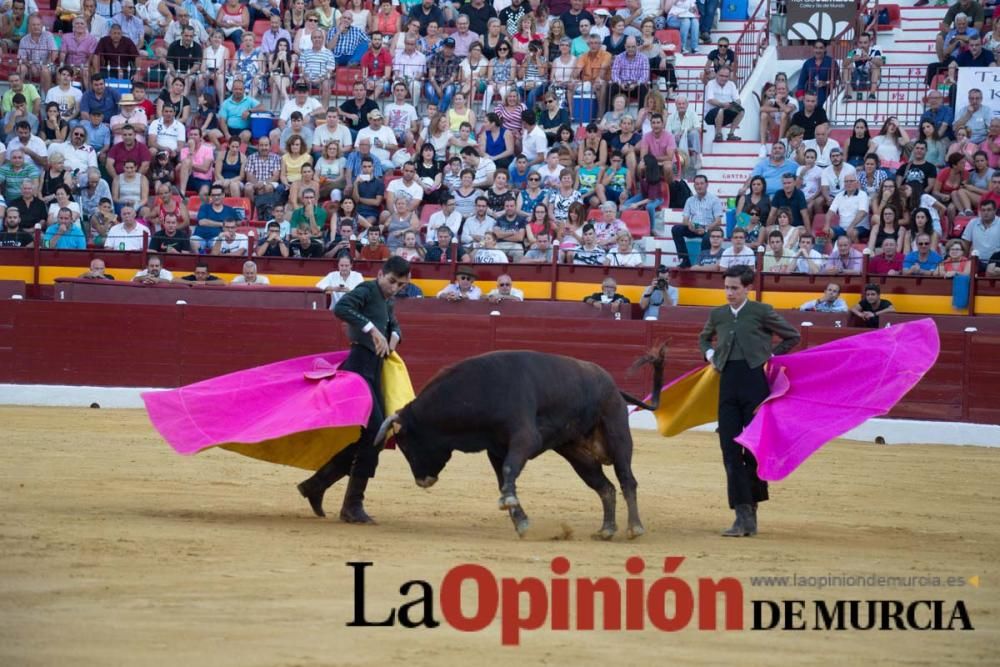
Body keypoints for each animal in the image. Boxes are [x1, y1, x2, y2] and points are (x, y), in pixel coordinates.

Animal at [372, 348, 668, 540]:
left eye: (406, 445)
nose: (422, 481)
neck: (477, 392)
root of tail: (613, 385)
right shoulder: (495, 449)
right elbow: (504, 478)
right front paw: (521, 521)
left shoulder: (524, 438)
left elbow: (509, 472)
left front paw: (510, 505)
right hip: (576, 453)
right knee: (605, 487)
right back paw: (606, 529)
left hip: (618, 435)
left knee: (627, 479)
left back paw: (634, 528)